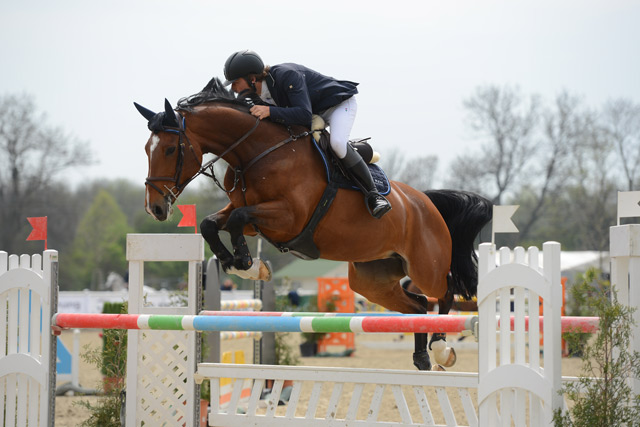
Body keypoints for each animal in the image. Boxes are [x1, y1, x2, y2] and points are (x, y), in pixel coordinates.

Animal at [135, 79, 492, 372]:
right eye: (147, 150)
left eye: (170, 148)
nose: (155, 208)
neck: (256, 152)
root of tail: (427, 202)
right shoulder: (254, 219)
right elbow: (212, 223)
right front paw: (241, 265)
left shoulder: (287, 217)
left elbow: (235, 220)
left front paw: (247, 264)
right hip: (371, 279)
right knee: (416, 305)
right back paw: (421, 358)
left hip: (424, 266)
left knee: (445, 292)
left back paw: (442, 349)